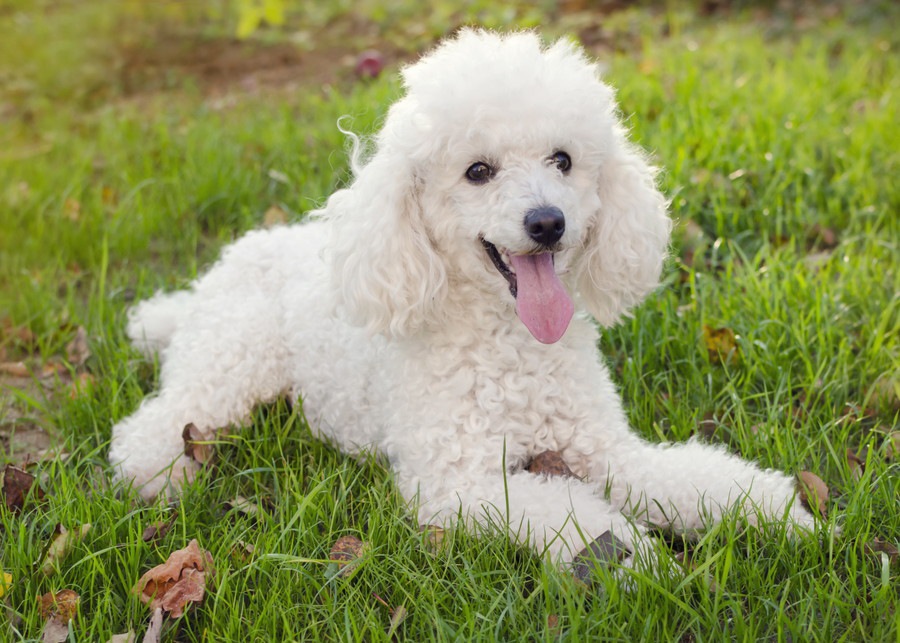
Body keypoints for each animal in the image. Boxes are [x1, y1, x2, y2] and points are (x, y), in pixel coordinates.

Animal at [109, 30, 812, 572]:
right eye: (479, 171)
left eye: (563, 160)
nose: (548, 222)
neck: (512, 344)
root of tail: (230, 261)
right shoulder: (461, 480)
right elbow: (572, 513)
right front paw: (632, 562)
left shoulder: (601, 445)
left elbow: (686, 475)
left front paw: (774, 514)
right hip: (233, 358)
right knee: (163, 418)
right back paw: (155, 472)